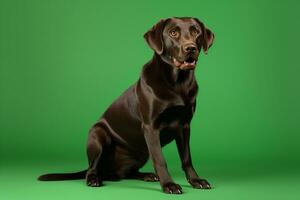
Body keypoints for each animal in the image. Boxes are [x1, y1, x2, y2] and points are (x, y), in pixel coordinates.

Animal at [38, 16, 214, 195]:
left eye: (196, 32)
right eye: (173, 33)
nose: (191, 48)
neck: (177, 83)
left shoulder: (184, 126)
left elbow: (187, 158)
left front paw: (196, 180)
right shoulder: (151, 127)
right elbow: (160, 159)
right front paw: (169, 185)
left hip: (141, 153)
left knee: (125, 173)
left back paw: (146, 175)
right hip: (98, 135)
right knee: (93, 168)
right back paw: (94, 179)